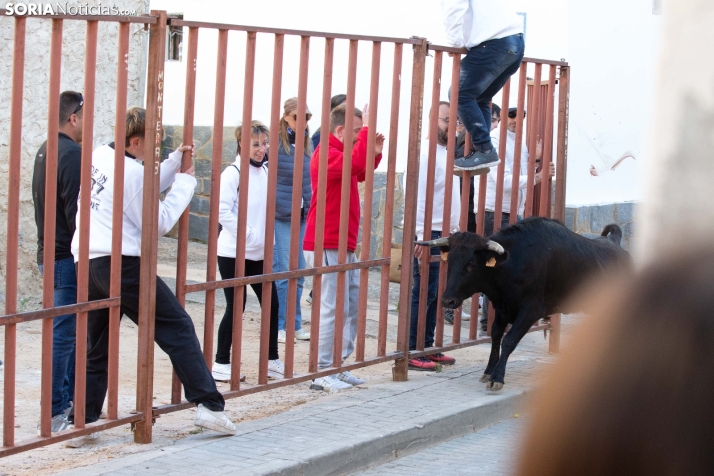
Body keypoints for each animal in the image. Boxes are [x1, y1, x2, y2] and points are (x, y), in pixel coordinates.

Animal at [414, 218, 624, 392]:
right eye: (450, 262)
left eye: (471, 264)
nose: (447, 300)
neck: (513, 261)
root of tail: (615, 243)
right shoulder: (502, 308)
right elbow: (496, 336)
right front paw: (489, 371)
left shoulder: (531, 311)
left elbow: (509, 340)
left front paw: (497, 377)